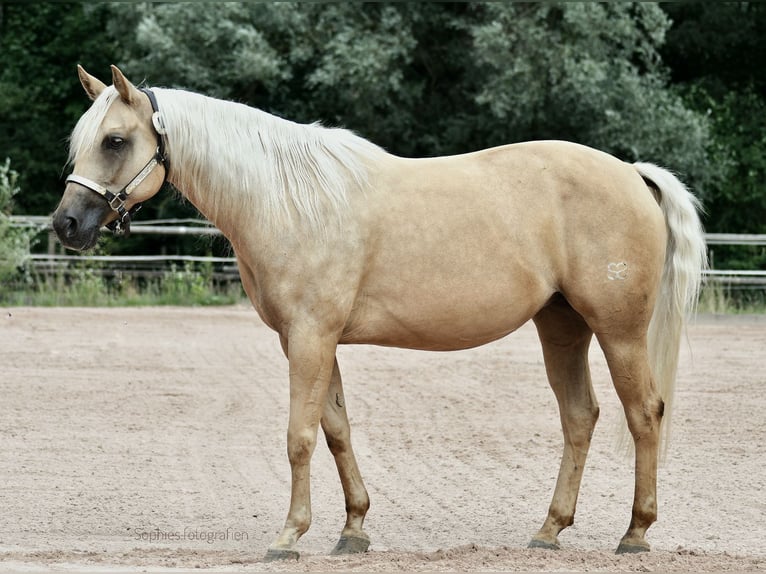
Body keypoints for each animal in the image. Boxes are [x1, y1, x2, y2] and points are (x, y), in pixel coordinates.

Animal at [51, 65, 704, 560]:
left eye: (114, 140)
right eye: (82, 142)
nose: (67, 224)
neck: (290, 200)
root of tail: (631, 173)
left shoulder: (310, 338)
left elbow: (299, 436)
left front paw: (288, 537)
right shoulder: (312, 341)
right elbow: (336, 430)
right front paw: (353, 529)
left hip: (619, 331)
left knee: (644, 414)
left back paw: (635, 533)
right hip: (562, 327)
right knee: (580, 416)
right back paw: (548, 531)